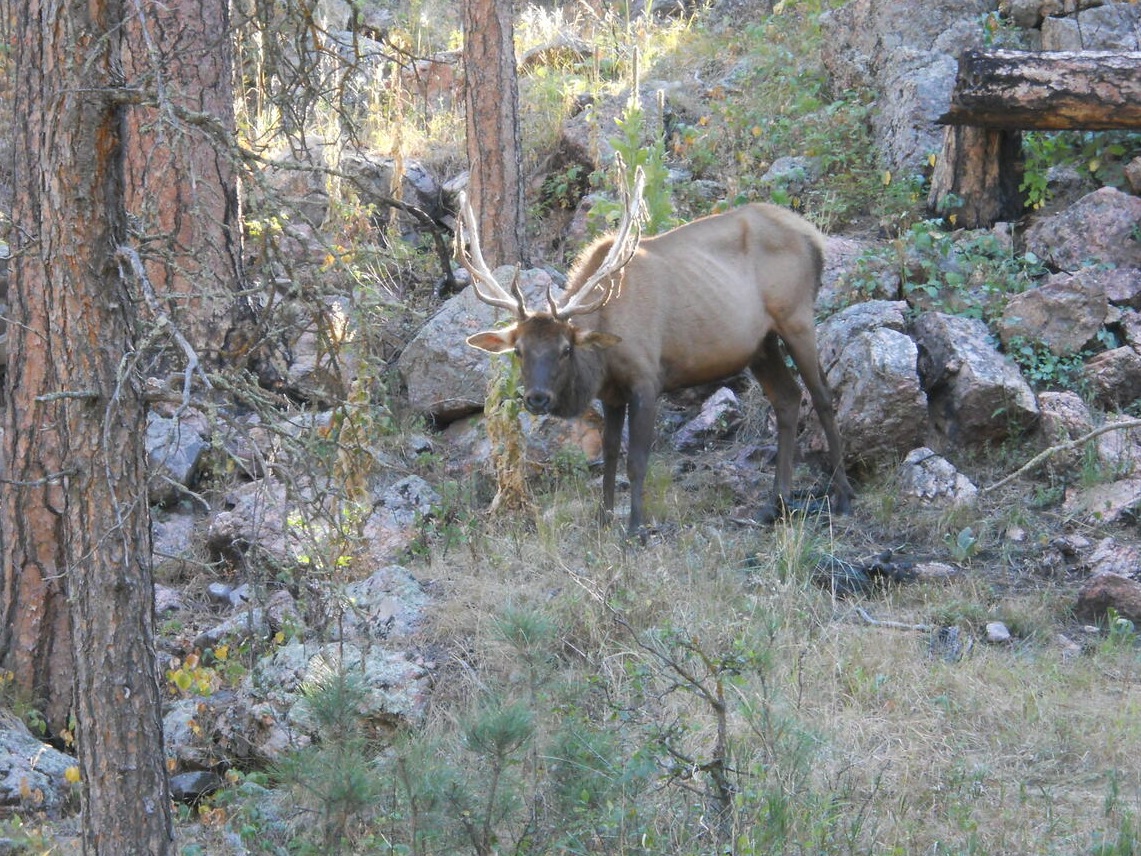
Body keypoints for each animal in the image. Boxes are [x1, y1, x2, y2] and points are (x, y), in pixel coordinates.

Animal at [458, 165, 853, 536]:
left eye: (565, 349)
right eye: (519, 350)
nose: (537, 398)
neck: (604, 354)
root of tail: (814, 238)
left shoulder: (646, 379)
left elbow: (637, 460)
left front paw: (635, 528)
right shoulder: (611, 393)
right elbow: (610, 453)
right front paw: (602, 519)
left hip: (797, 317)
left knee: (821, 396)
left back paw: (842, 497)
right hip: (762, 344)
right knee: (788, 398)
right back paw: (777, 504)